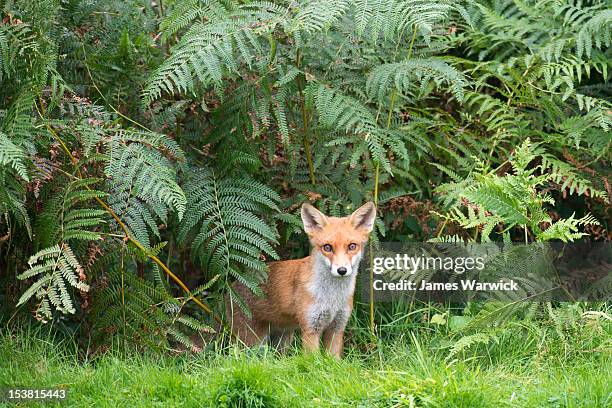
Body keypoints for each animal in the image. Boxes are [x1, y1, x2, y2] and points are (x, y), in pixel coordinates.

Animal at [226, 201, 376, 356]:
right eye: (327, 247)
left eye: (352, 246)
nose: (341, 270)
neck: (332, 298)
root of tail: (231, 287)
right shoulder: (310, 327)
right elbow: (312, 360)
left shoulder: (337, 327)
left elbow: (333, 358)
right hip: (254, 343)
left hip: (283, 340)